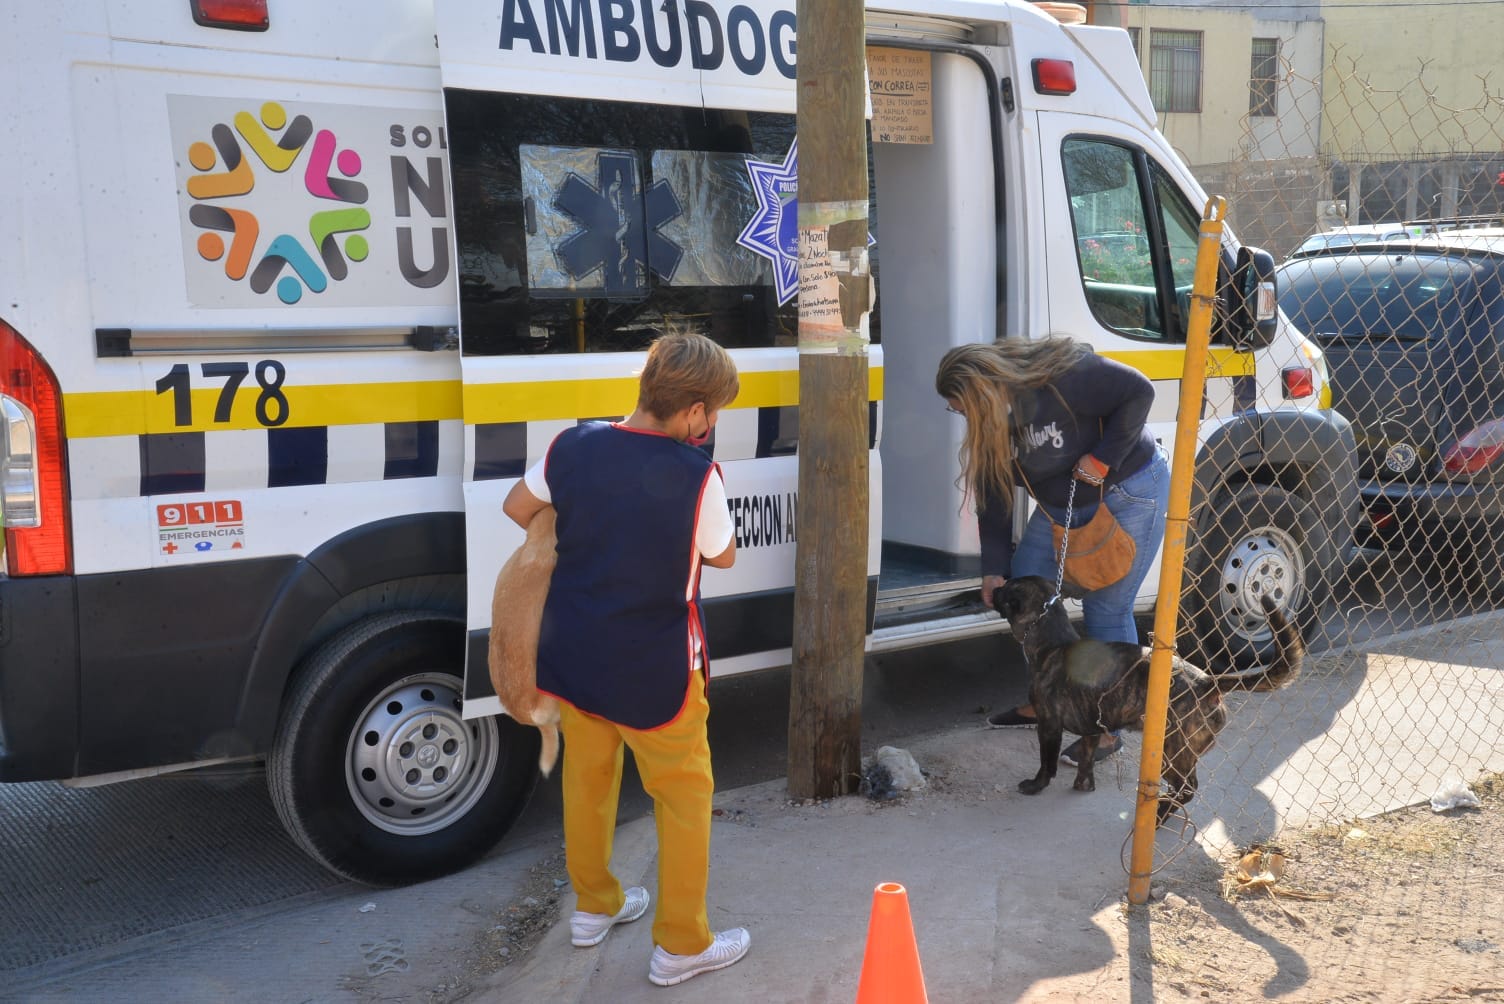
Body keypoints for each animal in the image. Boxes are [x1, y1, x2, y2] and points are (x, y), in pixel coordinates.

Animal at [992, 571, 1299, 823]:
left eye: (1006, 590)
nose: (994, 587)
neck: (1053, 642)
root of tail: (1206, 683)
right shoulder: (1092, 728)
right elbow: (1087, 760)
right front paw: (1084, 784)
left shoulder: (1048, 726)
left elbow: (1047, 762)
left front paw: (1035, 785)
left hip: (1172, 751)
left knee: (1187, 788)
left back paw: (1160, 815)